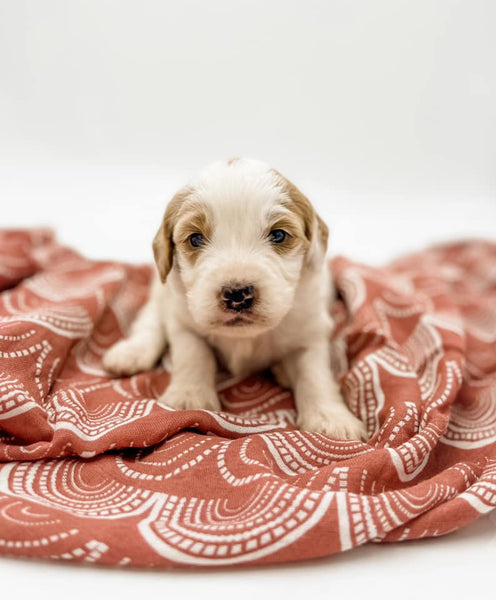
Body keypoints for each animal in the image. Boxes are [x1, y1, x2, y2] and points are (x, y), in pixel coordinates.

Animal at [102, 158, 366, 440]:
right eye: (195, 238)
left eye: (279, 235)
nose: (237, 293)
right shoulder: (183, 323)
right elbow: (193, 355)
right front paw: (188, 397)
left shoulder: (310, 333)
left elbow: (315, 374)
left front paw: (331, 419)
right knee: (150, 319)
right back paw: (132, 352)